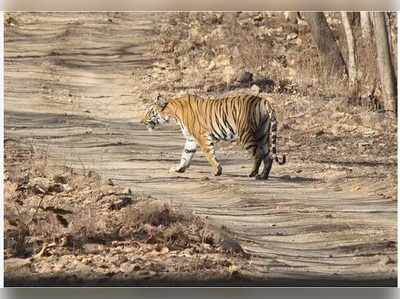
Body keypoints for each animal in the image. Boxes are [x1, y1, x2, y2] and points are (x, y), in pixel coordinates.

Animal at [141, 95, 284, 179]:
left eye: (149, 111)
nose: (141, 121)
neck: (173, 113)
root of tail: (263, 101)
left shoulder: (202, 137)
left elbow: (209, 155)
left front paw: (217, 171)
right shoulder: (191, 139)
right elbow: (185, 155)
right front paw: (178, 169)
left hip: (246, 135)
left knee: (258, 154)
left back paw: (253, 173)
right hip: (262, 135)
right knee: (268, 156)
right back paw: (263, 175)